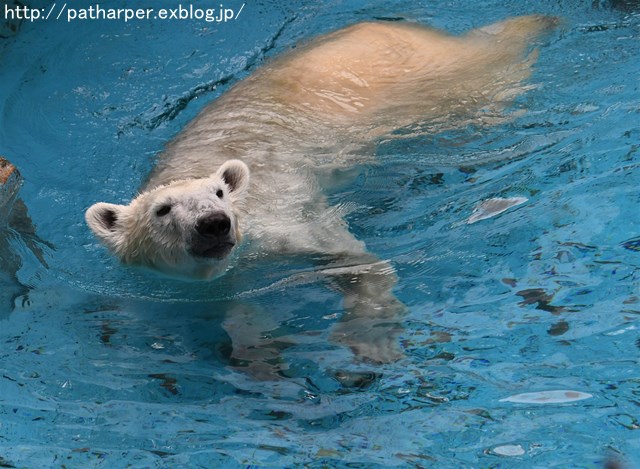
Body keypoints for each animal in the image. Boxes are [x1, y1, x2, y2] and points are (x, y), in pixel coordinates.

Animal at [85, 15, 556, 362]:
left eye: (218, 194)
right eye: (162, 210)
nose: (213, 224)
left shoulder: (285, 217)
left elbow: (351, 260)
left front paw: (369, 341)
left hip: (449, 86)